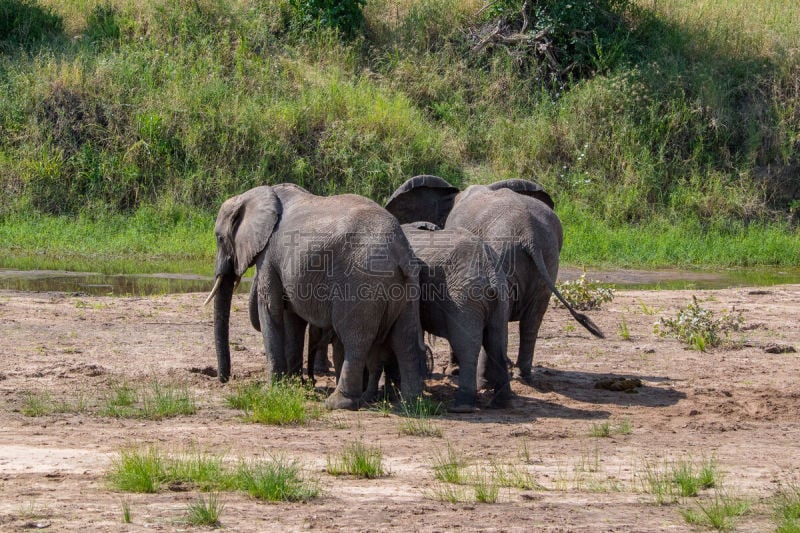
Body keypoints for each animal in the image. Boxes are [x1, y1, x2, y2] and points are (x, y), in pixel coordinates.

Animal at [206, 181, 432, 410]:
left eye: (219, 238)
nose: (223, 380)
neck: (256, 194)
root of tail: (400, 251)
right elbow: (293, 319)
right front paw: (293, 385)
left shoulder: (269, 256)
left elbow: (271, 309)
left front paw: (269, 391)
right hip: (406, 289)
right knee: (404, 339)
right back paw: (411, 403)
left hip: (361, 285)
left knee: (355, 340)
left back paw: (337, 403)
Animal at [384, 175, 604, 382]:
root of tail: (530, 234)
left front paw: (453, 371)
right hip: (548, 257)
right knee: (531, 320)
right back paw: (522, 375)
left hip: (505, 252)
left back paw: (487, 378)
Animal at [404, 220, 510, 412]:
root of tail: (489, 268)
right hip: (500, 297)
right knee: (497, 343)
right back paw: (500, 403)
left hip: (463, 297)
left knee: (466, 347)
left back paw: (462, 406)